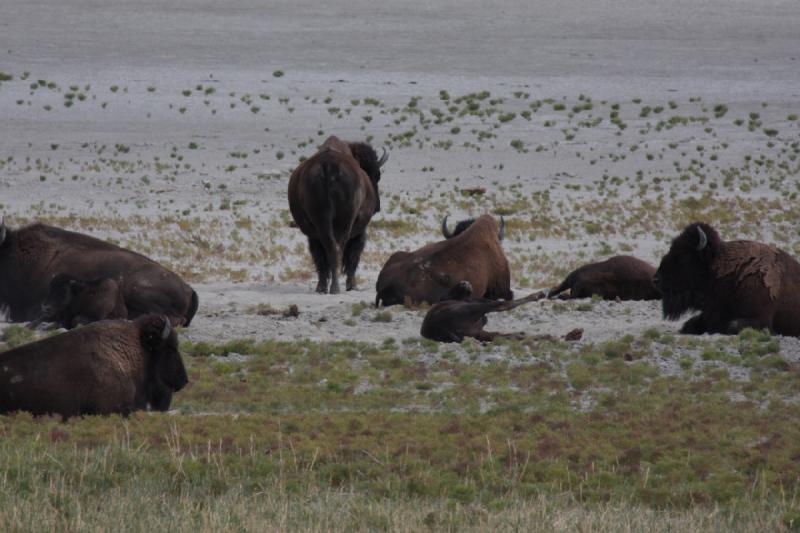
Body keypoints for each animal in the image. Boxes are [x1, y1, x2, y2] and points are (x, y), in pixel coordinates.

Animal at [288, 135, 388, 294]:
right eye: (376, 176)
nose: (377, 207)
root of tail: (328, 166)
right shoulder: (360, 231)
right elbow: (354, 255)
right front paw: (352, 286)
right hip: (345, 224)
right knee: (339, 249)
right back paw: (336, 288)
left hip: (320, 224)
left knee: (326, 252)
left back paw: (323, 288)